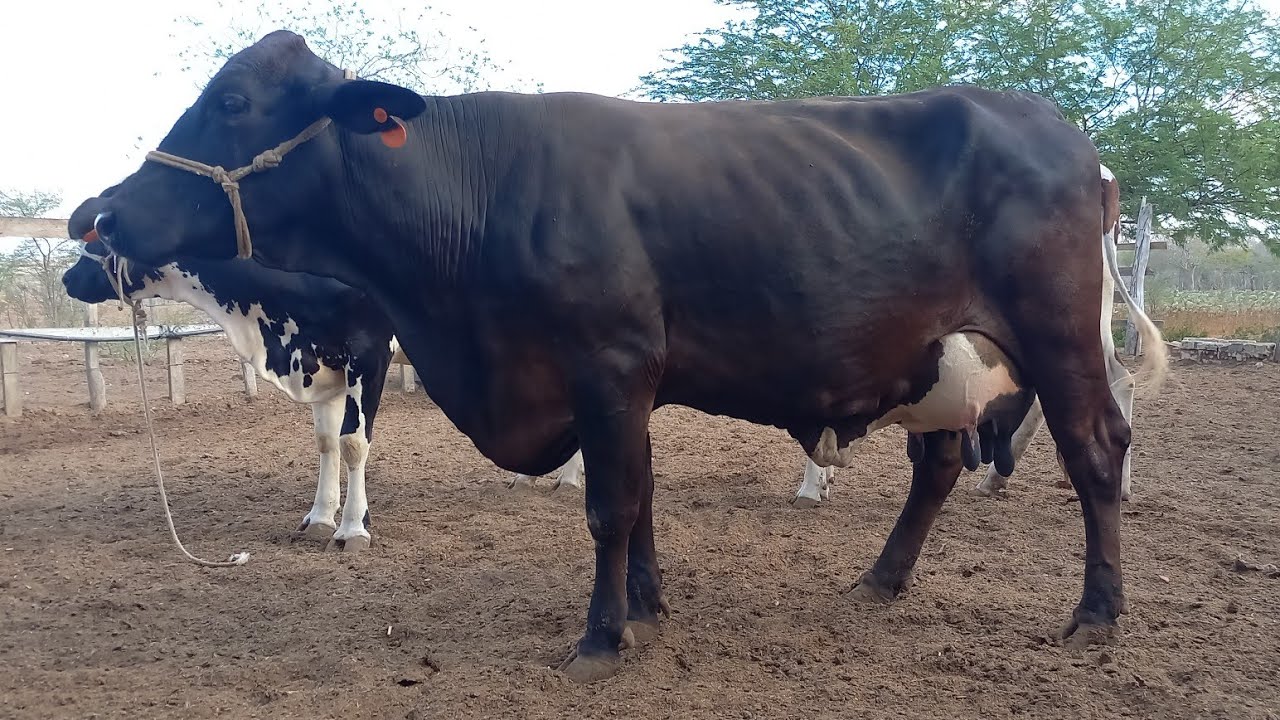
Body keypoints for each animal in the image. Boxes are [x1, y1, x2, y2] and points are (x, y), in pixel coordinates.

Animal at [87, 31, 1166, 683]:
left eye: (233, 100)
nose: (102, 213)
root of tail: (1065, 135)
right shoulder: (623, 384)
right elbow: (640, 500)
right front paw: (647, 605)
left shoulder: (605, 365)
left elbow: (609, 505)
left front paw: (602, 635)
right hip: (934, 363)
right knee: (938, 464)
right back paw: (880, 581)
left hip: (1058, 337)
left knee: (1094, 451)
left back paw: (1097, 613)